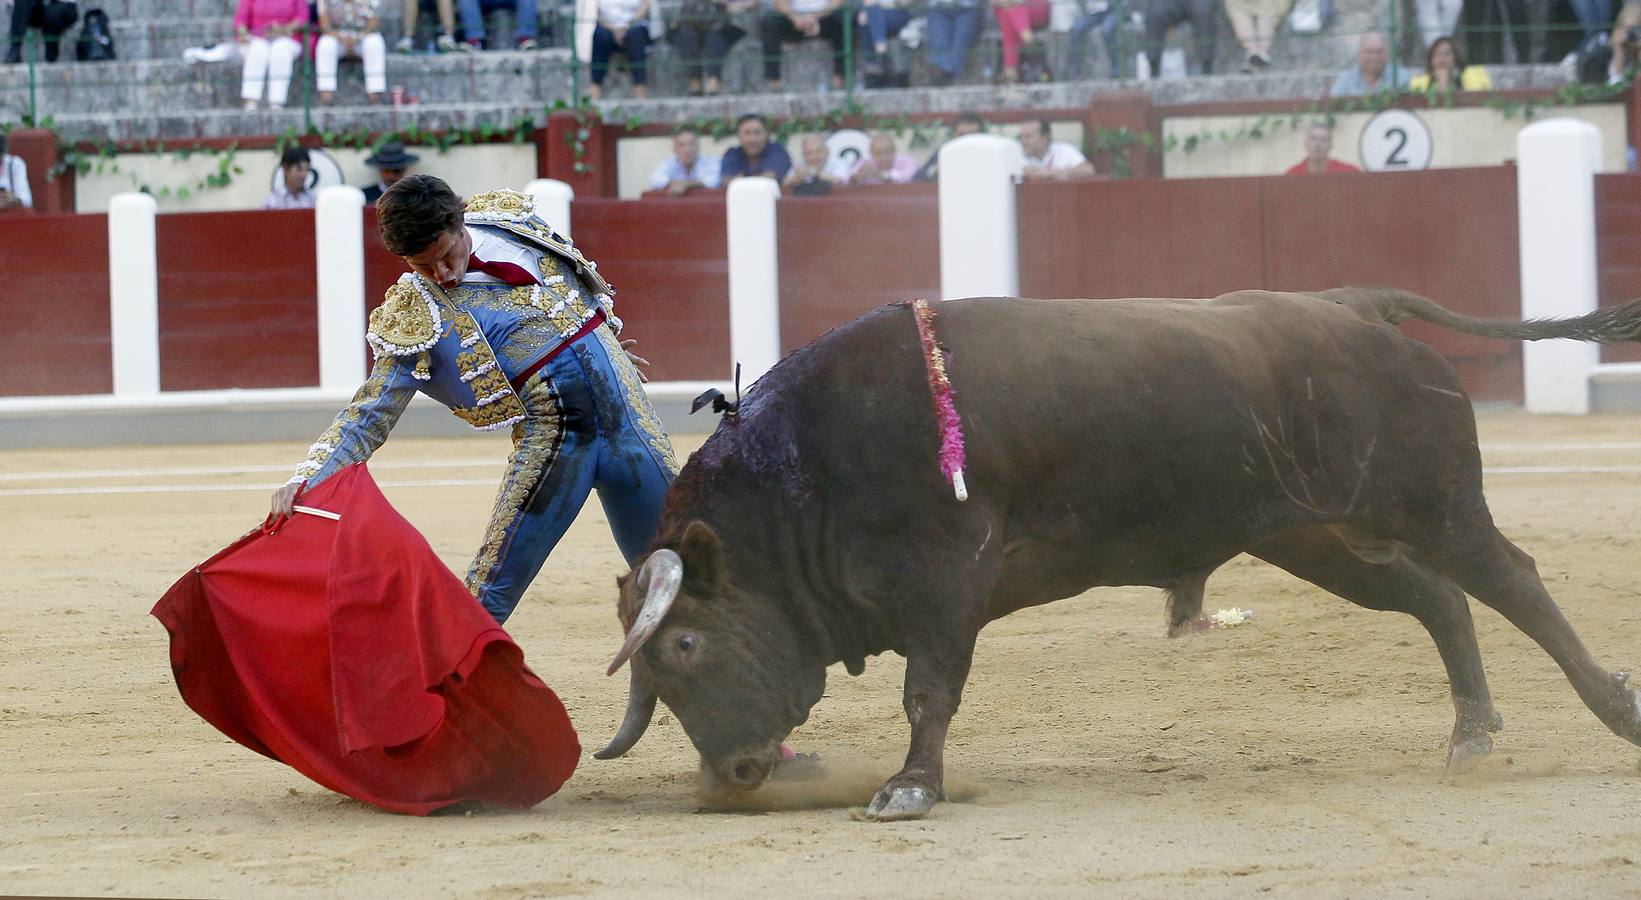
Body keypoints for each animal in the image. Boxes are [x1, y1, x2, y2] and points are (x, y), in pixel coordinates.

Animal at [590, 290, 1641, 821]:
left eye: (684, 645)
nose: (733, 776)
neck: (808, 472)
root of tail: (1354, 308)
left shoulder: (945, 581)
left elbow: (928, 691)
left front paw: (909, 788)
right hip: (1309, 534)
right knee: (1436, 599)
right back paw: (1470, 733)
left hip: (1433, 501)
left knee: (1513, 583)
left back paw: (1614, 711)